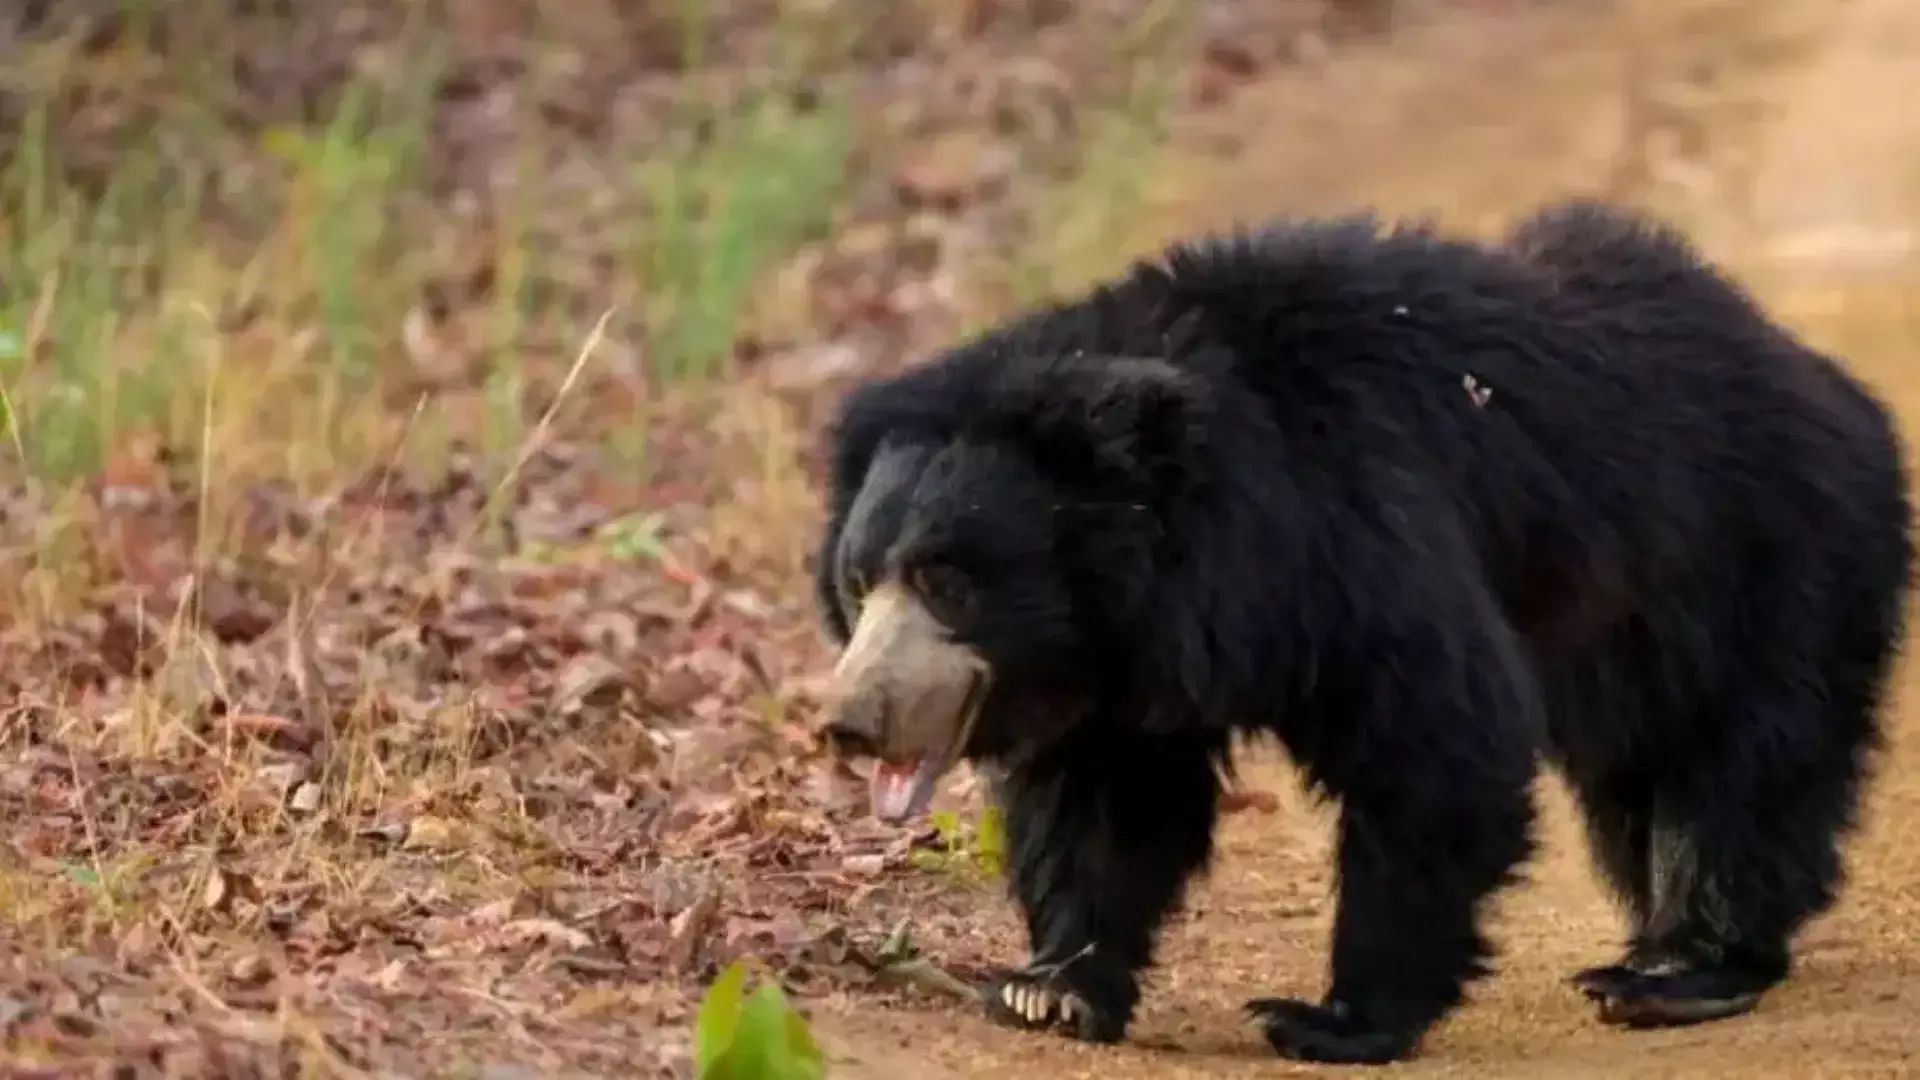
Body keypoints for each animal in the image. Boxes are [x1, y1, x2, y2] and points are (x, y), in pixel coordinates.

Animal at [814, 201, 1920, 1060]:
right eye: (859, 583)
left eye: (949, 582)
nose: (850, 725)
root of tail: (1839, 390)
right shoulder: (1122, 665)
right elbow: (1107, 802)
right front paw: (1047, 987)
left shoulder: (1358, 532)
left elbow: (1435, 738)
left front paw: (1332, 1019)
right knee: (1639, 778)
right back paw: (1655, 946)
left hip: (1768, 563)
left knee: (1741, 762)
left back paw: (1680, 969)